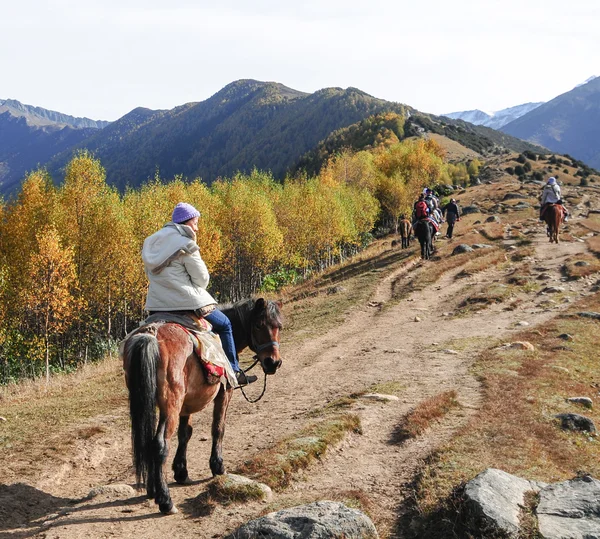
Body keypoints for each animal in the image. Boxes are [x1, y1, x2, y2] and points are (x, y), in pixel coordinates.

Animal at [122, 300, 284, 516]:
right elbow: (218, 428)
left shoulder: (186, 405)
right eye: (259, 325)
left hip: (151, 404)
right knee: (160, 444)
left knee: (148, 440)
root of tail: (150, 336)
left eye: (279, 327)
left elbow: (185, 433)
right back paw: (165, 501)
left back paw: (153, 489)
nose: (273, 362)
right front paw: (218, 466)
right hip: (171, 406)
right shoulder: (225, 392)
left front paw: (181, 471)